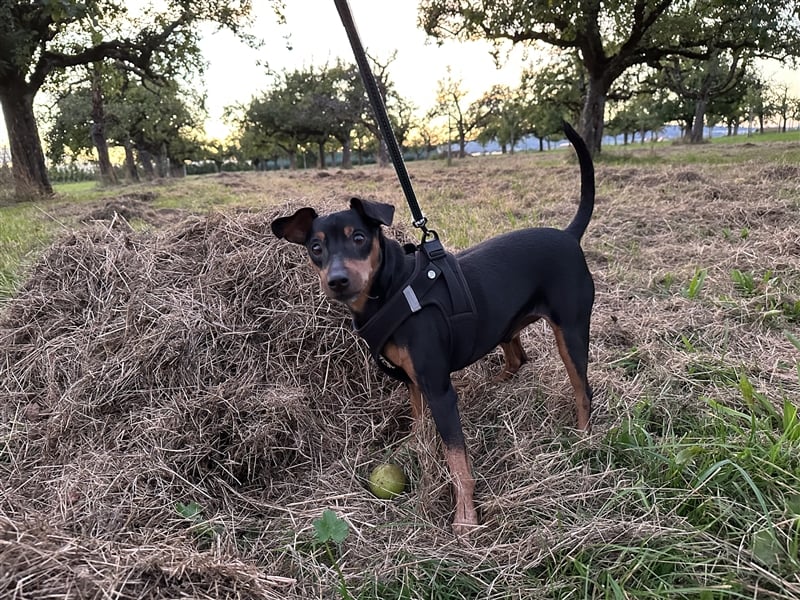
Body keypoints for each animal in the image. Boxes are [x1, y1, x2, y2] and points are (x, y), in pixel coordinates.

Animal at [274, 119, 592, 532]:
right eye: (316, 248)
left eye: (359, 238)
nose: (338, 280)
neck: (393, 288)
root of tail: (568, 235)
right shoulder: (414, 380)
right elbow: (418, 421)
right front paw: (413, 447)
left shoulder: (439, 389)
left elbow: (457, 461)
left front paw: (465, 518)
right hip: (505, 324)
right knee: (518, 356)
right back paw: (497, 384)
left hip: (572, 332)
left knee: (583, 391)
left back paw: (584, 438)